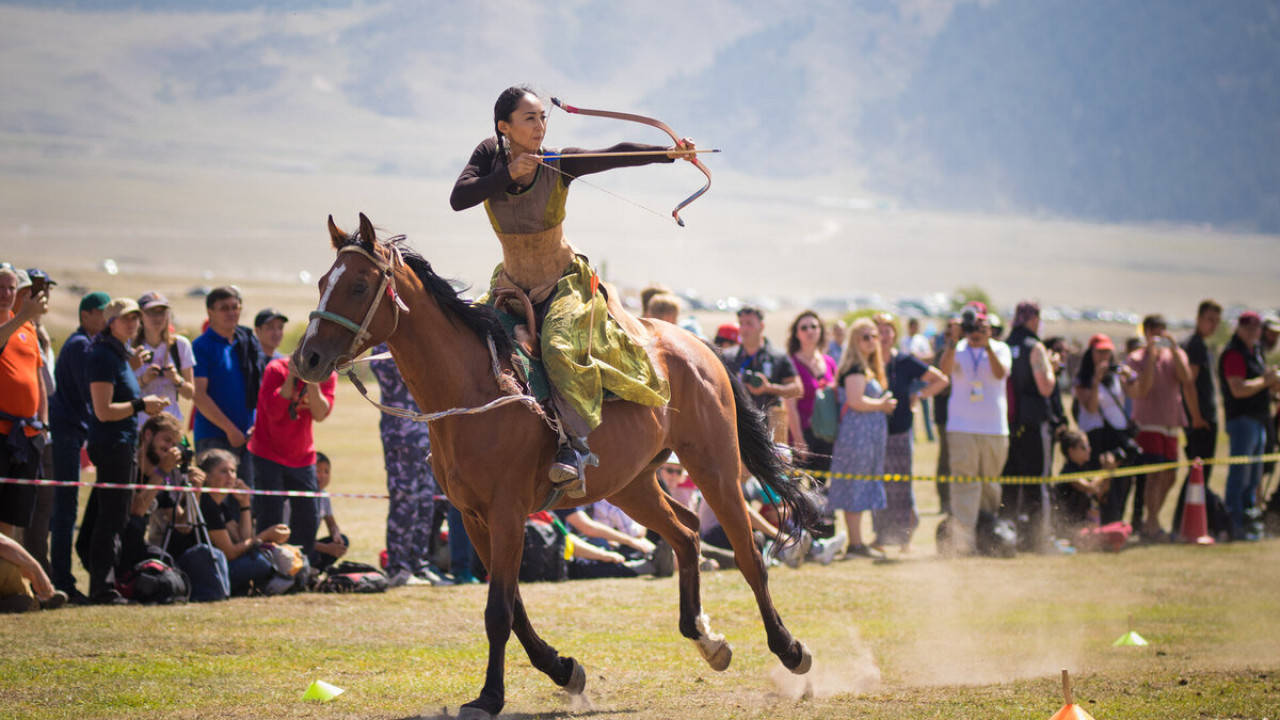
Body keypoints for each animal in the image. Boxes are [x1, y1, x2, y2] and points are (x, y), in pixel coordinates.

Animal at [293, 212, 819, 717]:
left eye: (358, 286)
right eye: (321, 282)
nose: (307, 358)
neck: (472, 390)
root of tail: (694, 345)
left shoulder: (506, 514)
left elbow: (499, 611)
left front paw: (489, 697)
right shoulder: (475, 519)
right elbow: (514, 607)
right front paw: (564, 670)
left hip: (715, 466)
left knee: (749, 554)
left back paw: (790, 650)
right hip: (629, 484)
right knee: (687, 531)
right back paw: (708, 640)